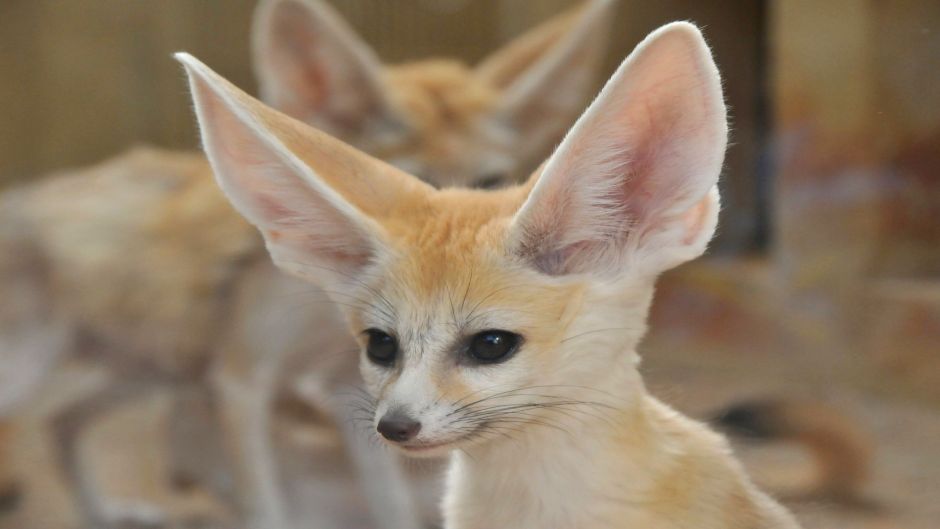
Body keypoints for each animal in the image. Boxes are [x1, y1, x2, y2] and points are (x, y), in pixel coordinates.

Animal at [0, 0, 616, 524]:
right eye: (412, 188)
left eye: (489, 184)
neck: (321, 312)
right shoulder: (240, 381)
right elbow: (266, 508)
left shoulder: (360, 390)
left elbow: (390, 503)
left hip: (144, 371)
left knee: (60, 425)